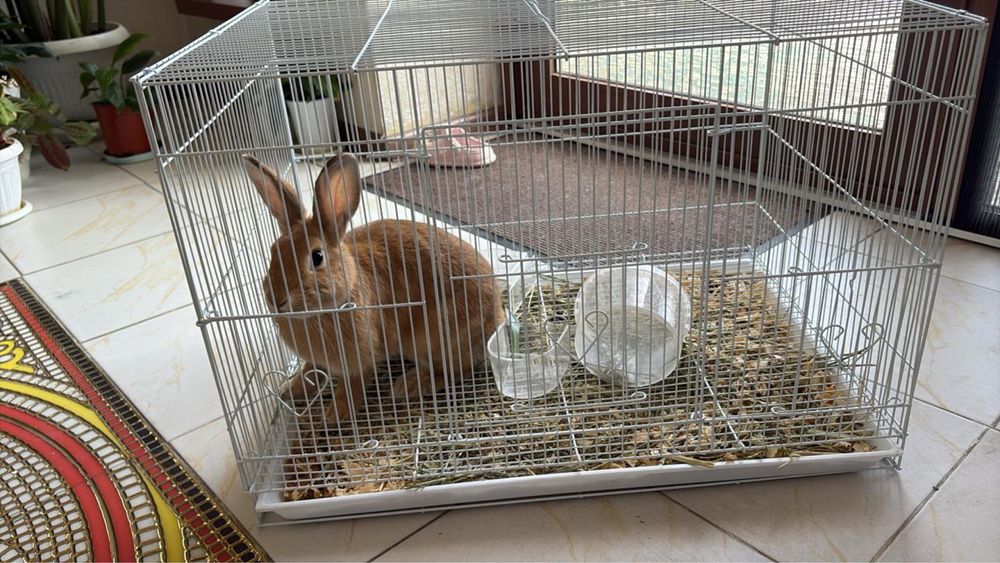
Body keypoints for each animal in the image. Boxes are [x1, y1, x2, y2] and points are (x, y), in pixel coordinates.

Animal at [243, 153, 503, 425]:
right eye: (274, 251)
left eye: (316, 257)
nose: (276, 300)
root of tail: (497, 317)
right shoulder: (316, 360)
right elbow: (310, 371)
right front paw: (288, 390)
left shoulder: (360, 359)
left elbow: (353, 386)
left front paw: (335, 414)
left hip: (436, 337)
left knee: (455, 371)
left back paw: (409, 384)